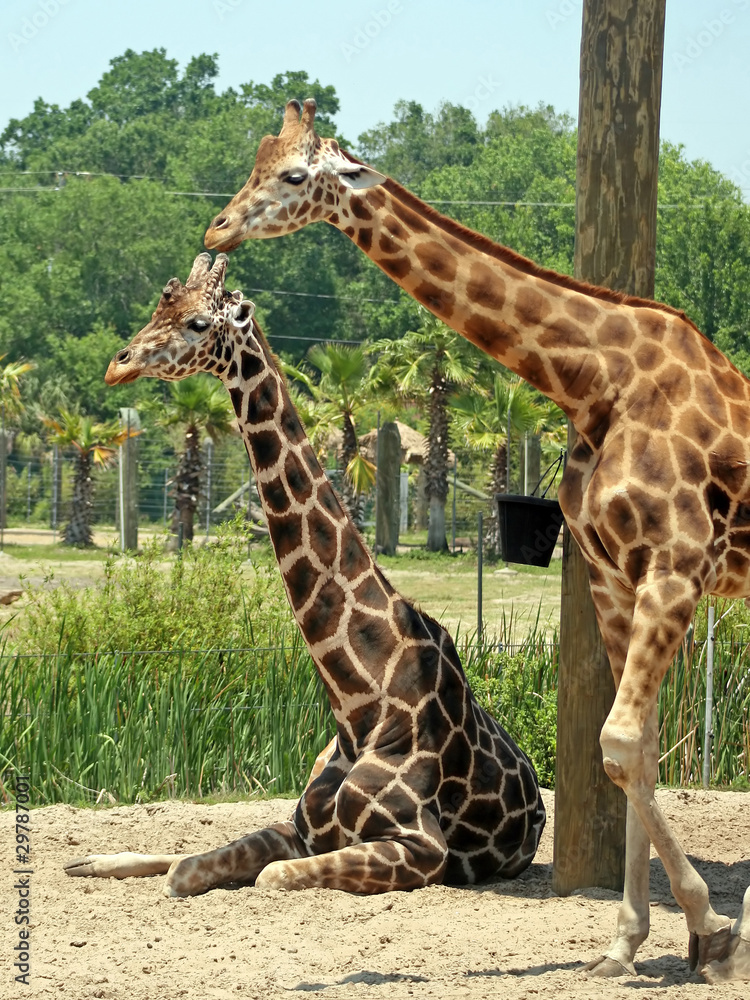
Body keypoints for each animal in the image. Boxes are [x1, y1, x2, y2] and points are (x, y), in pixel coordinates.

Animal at [65, 252, 546, 899]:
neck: (358, 706)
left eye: (197, 322)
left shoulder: (422, 850)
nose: (118, 364)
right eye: (157, 308)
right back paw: (88, 860)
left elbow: (265, 877)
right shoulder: (302, 827)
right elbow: (188, 868)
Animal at [202, 99, 750, 983]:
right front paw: (632, 945)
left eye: (291, 174)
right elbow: (637, 751)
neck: (595, 381)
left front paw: (716, 933)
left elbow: (621, 742)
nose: (216, 228)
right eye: (256, 160)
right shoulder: (614, 573)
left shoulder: (676, 564)